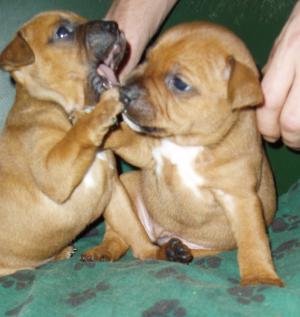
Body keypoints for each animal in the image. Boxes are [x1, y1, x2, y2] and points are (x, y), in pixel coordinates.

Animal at [98, 21, 284, 286]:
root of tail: (165, 235)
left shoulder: (239, 198)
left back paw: (175, 251)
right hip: (129, 184)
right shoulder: (147, 153)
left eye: (179, 83)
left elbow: (253, 239)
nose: (123, 92)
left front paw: (260, 276)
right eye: (146, 58)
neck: (188, 145)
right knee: (120, 235)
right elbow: (126, 138)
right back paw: (104, 250)